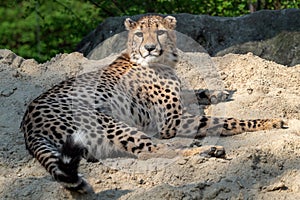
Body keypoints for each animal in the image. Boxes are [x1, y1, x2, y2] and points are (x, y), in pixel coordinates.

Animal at [21, 14, 286, 193]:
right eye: (139, 34)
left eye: (159, 32)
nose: (149, 48)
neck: (162, 61)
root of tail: (28, 125)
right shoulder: (171, 122)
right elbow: (226, 121)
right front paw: (267, 121)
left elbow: (192, 91)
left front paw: (218, 93)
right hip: (112, 123)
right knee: (155, 151)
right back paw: (205, 151)